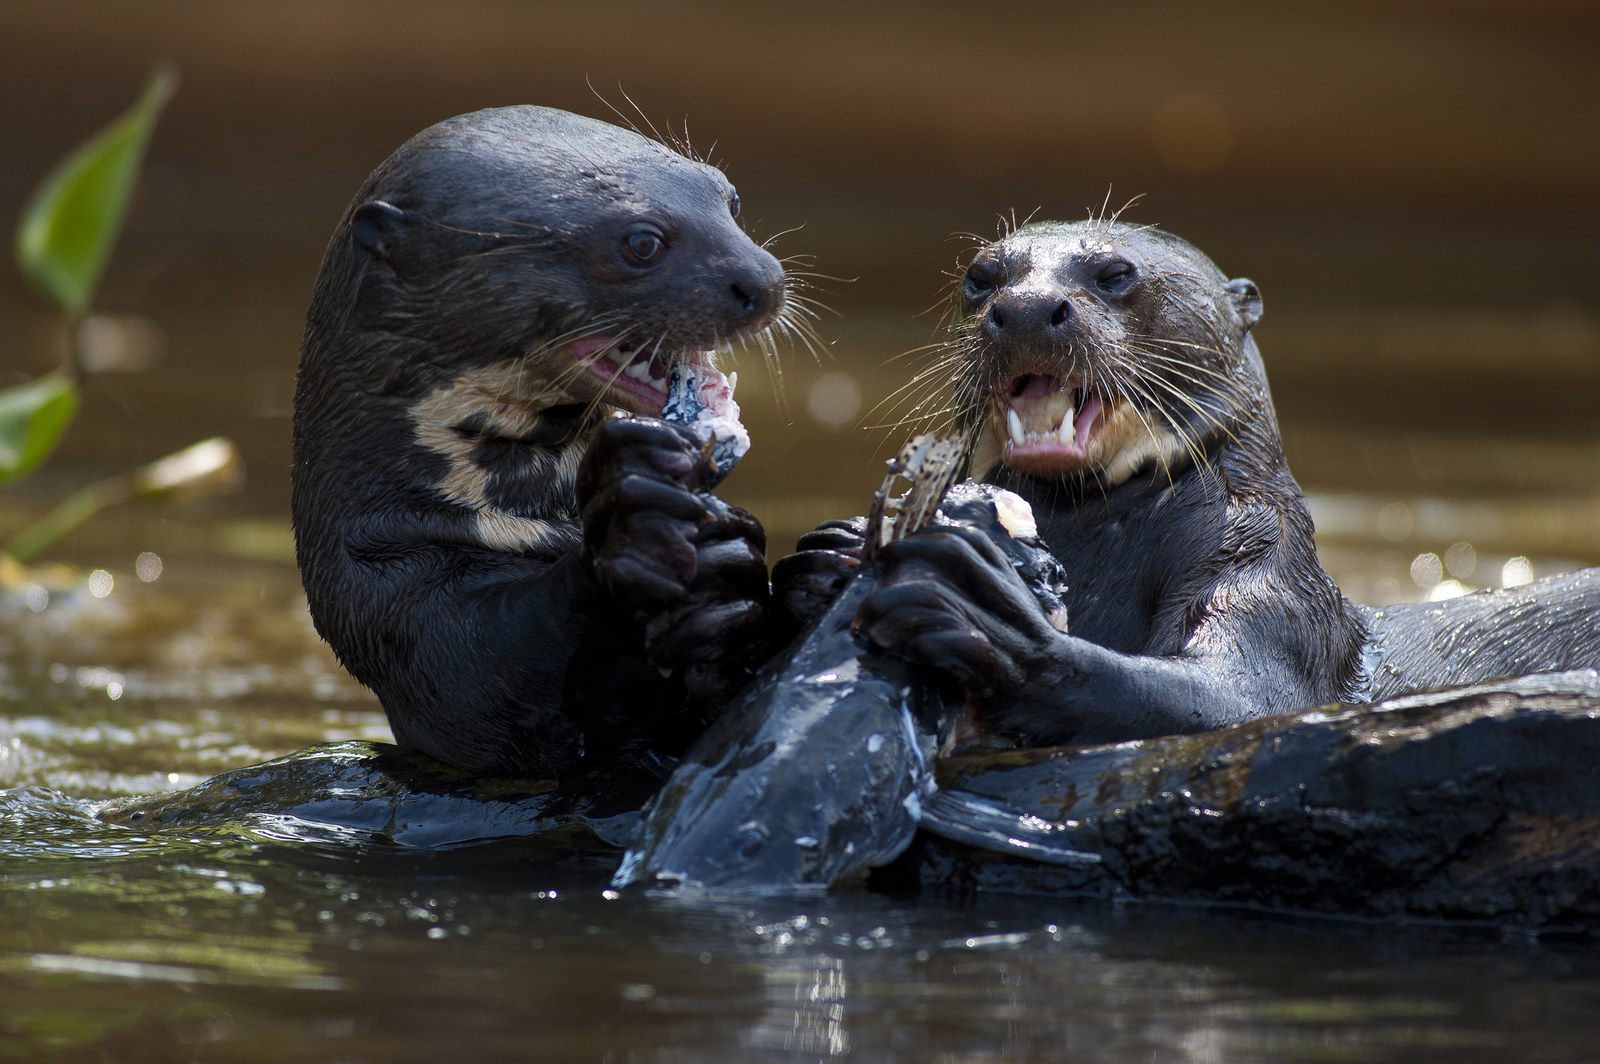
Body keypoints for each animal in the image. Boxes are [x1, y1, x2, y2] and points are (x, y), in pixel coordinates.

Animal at [296, 105, 793, 771]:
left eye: (731, 200)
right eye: (642, 243)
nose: (764, 281)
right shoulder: (410, 628)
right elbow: (519, 683)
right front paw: (640, 525)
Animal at [777, 219, 1600, 742]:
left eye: (1115, 274)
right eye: (981, 279)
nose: (1025, 307)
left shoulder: (1269, 567)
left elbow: (1242, 698)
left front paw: (987, 614)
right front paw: (828, 555)